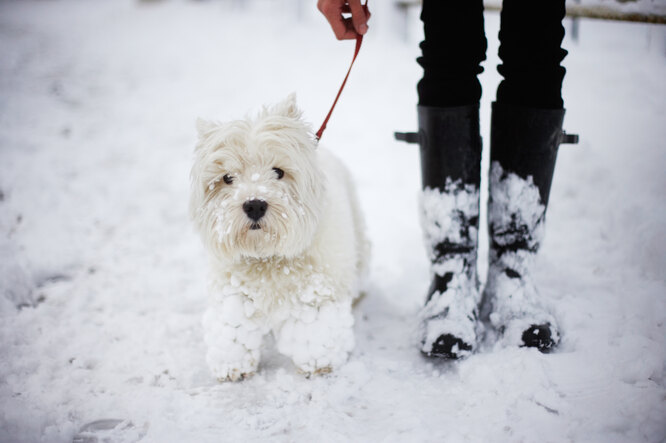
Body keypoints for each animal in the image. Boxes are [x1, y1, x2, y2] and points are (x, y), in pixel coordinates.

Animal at [189, 94, 370, 382]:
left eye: (278, 171)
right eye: (227, 177)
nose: (254, 205)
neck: (267, 258)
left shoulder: (315, 292)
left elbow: (315, 331)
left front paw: (318, 363)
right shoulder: (233, 291)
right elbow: (233, 329)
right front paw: (231, 366)